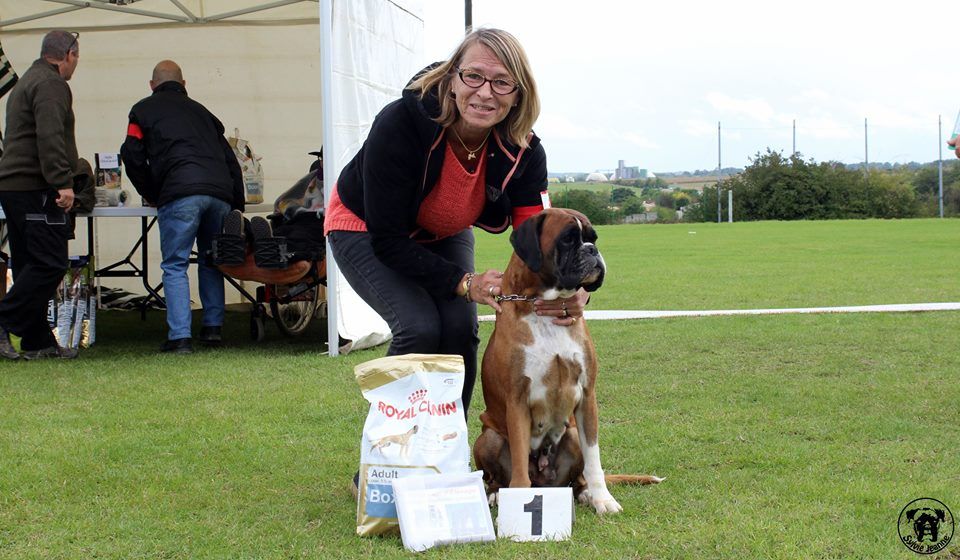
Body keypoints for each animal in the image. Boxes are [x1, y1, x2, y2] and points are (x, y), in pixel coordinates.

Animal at [470, 208, 660, 516]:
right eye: (568, 239)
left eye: (593, 237)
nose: (592, 249)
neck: (545, 306)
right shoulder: (517, 400)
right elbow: (519, 463)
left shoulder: (587, 396)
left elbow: (594, 460)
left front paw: (603, 499)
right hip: (489, 437)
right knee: (497, 477)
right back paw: (497, 494)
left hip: (570, 434)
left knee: (577, 478)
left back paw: (585, 494)